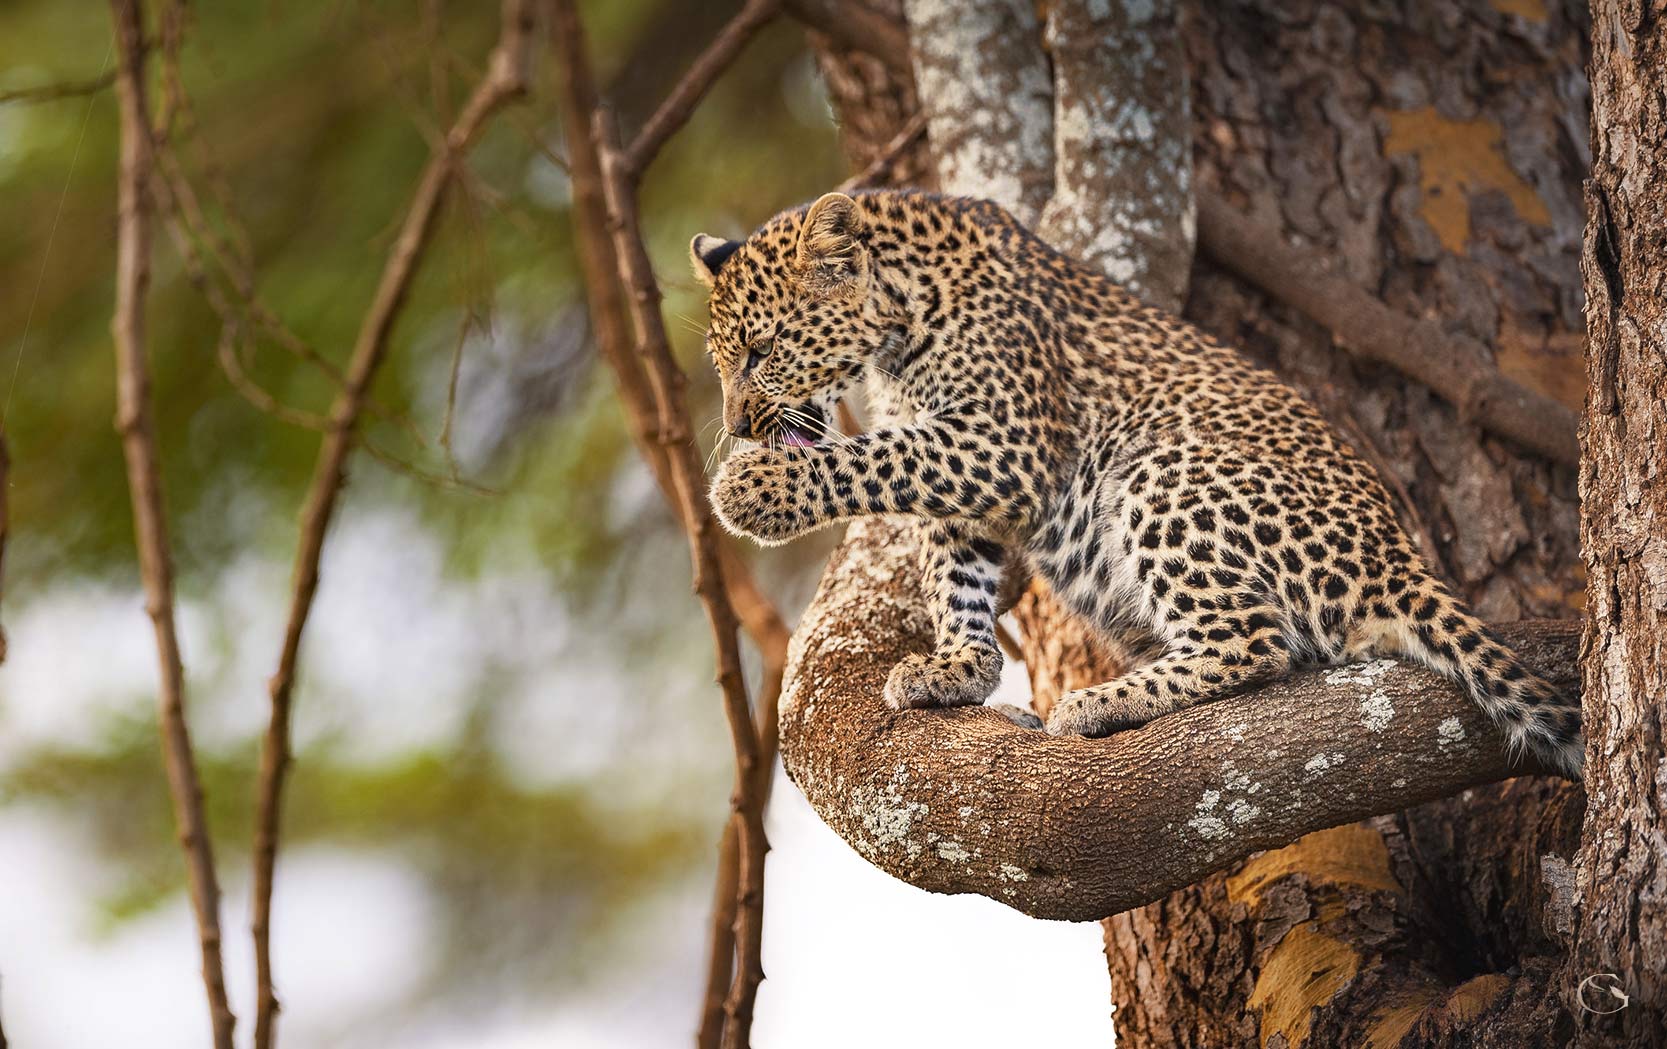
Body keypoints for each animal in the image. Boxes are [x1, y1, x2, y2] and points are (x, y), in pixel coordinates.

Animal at [690, 188, 1583, 777]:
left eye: (762, 351)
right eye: (721, 361)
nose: (737, 423)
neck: (896, 318)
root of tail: (1398, 560)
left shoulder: (1002, 442)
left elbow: (871, 459)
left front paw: (758, 489)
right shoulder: (961, 470)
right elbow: (954, 572)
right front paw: (957, 667)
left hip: (1159, 469)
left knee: (1253, 643)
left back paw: (1097, 702)